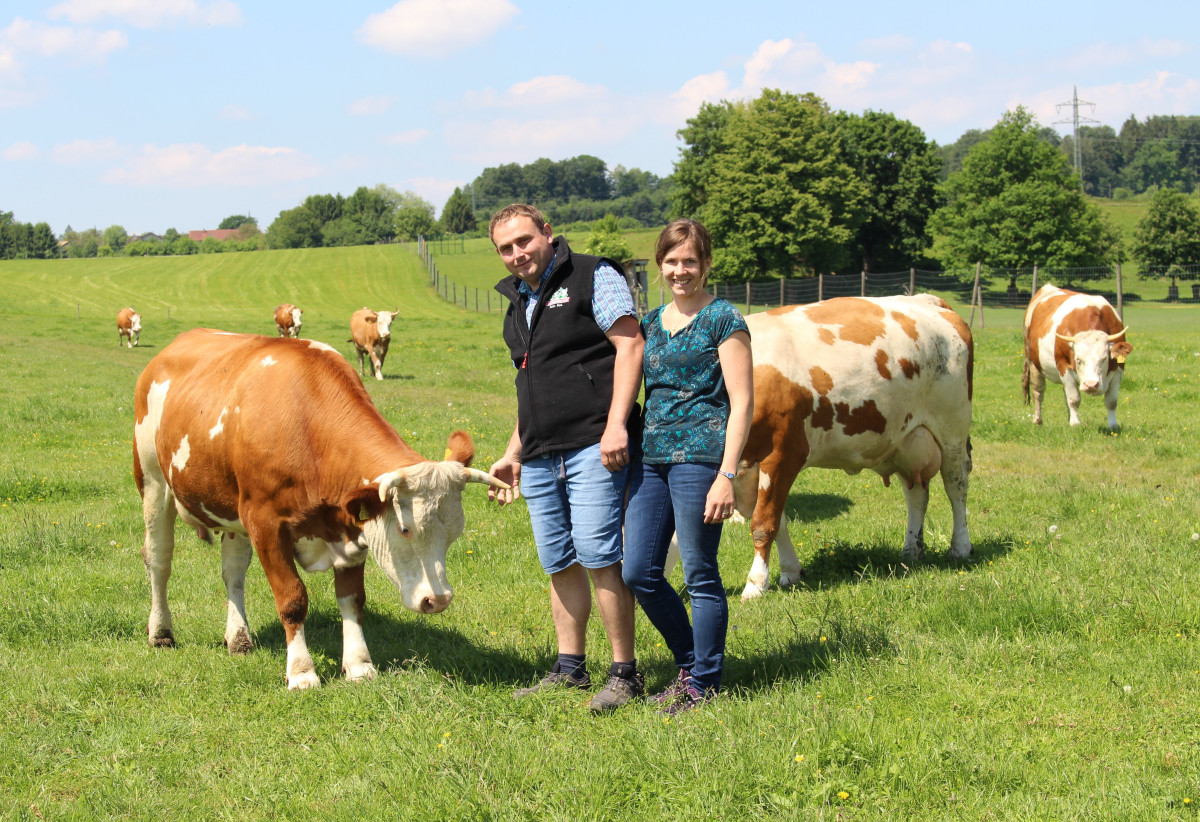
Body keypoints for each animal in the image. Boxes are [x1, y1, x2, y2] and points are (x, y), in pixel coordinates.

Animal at [131, 326, 506, 686]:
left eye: (454, 534)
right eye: (405, 529)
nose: (438, 600)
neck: (307, 430)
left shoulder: (349, 526)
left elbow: (352, 600)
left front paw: (359, 666)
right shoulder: (265, 523)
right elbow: (292, 600)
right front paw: (301, 672)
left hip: (229, 507)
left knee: (233, 570)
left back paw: (238, 639)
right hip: (153, 482)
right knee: (159, 559)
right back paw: (161, 632)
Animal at [1022, 283, 1132, 429]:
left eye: (1104, 359)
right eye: (1078, 360)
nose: (1091, 385)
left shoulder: (1118, 369)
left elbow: (1112, 401)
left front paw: (1113, 425)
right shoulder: (1064, 367)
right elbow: (1074, 399)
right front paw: (1075, 423)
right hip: (1033, 362)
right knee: (1038, 392)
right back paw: (1038, 420)